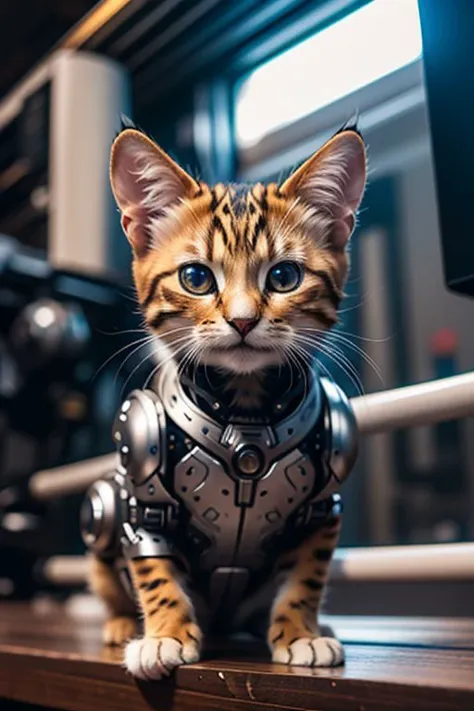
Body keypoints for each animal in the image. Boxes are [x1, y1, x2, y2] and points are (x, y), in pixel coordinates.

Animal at [90, 124, 368, 680]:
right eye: (196, 278)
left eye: (284, 277)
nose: (242, 320)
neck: (245, 409)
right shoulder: (142, 495)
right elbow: (153, 569)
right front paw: (164, 634)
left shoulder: (323, 507)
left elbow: (308, 575)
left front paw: (300, 631)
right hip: (104, 511)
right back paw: (120, 623)